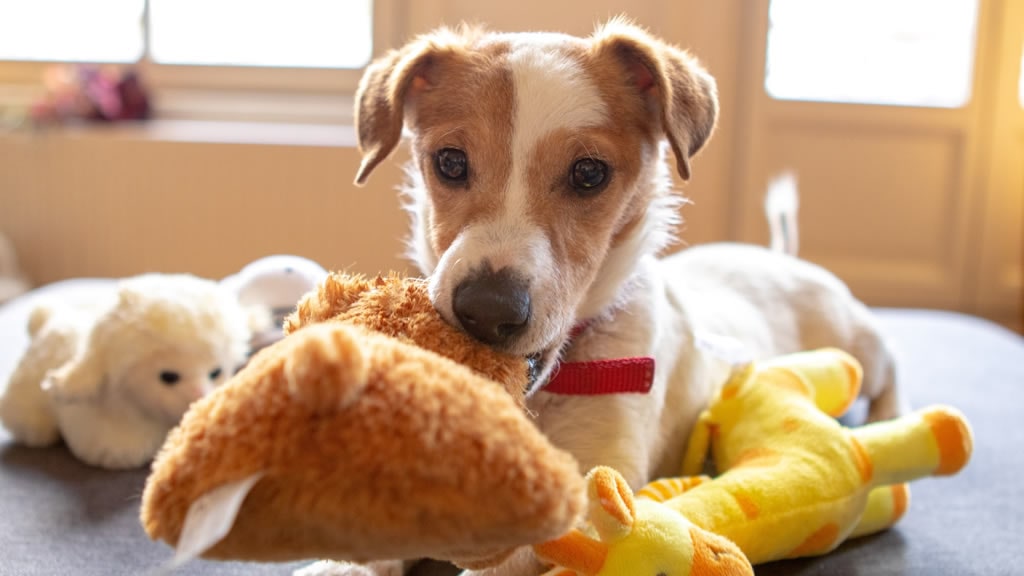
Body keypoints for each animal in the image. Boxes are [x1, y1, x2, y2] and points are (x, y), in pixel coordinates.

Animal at [309, 17, 905, 573]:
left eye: (589, 173)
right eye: (450, 162)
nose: (486, 312)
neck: (546, 391)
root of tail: (780, 256)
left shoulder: (596, 482)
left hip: (860, 346)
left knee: (890, 373)